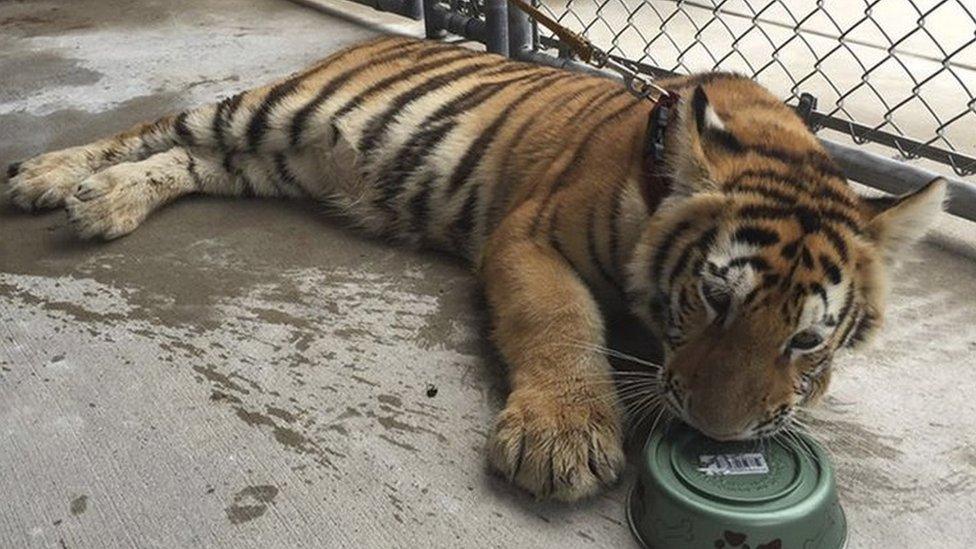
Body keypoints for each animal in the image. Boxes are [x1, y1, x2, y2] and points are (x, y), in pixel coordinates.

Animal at [5, 34, 944, 500]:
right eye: (713, 297)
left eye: (806, 341)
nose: (716, 436)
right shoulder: (530, 238)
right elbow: (561, 324)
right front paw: (563, 437)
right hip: (262, 112)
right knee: (151, 129)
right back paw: (49, 176)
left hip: (267, 161)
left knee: (182, 162)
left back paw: (106, 202)